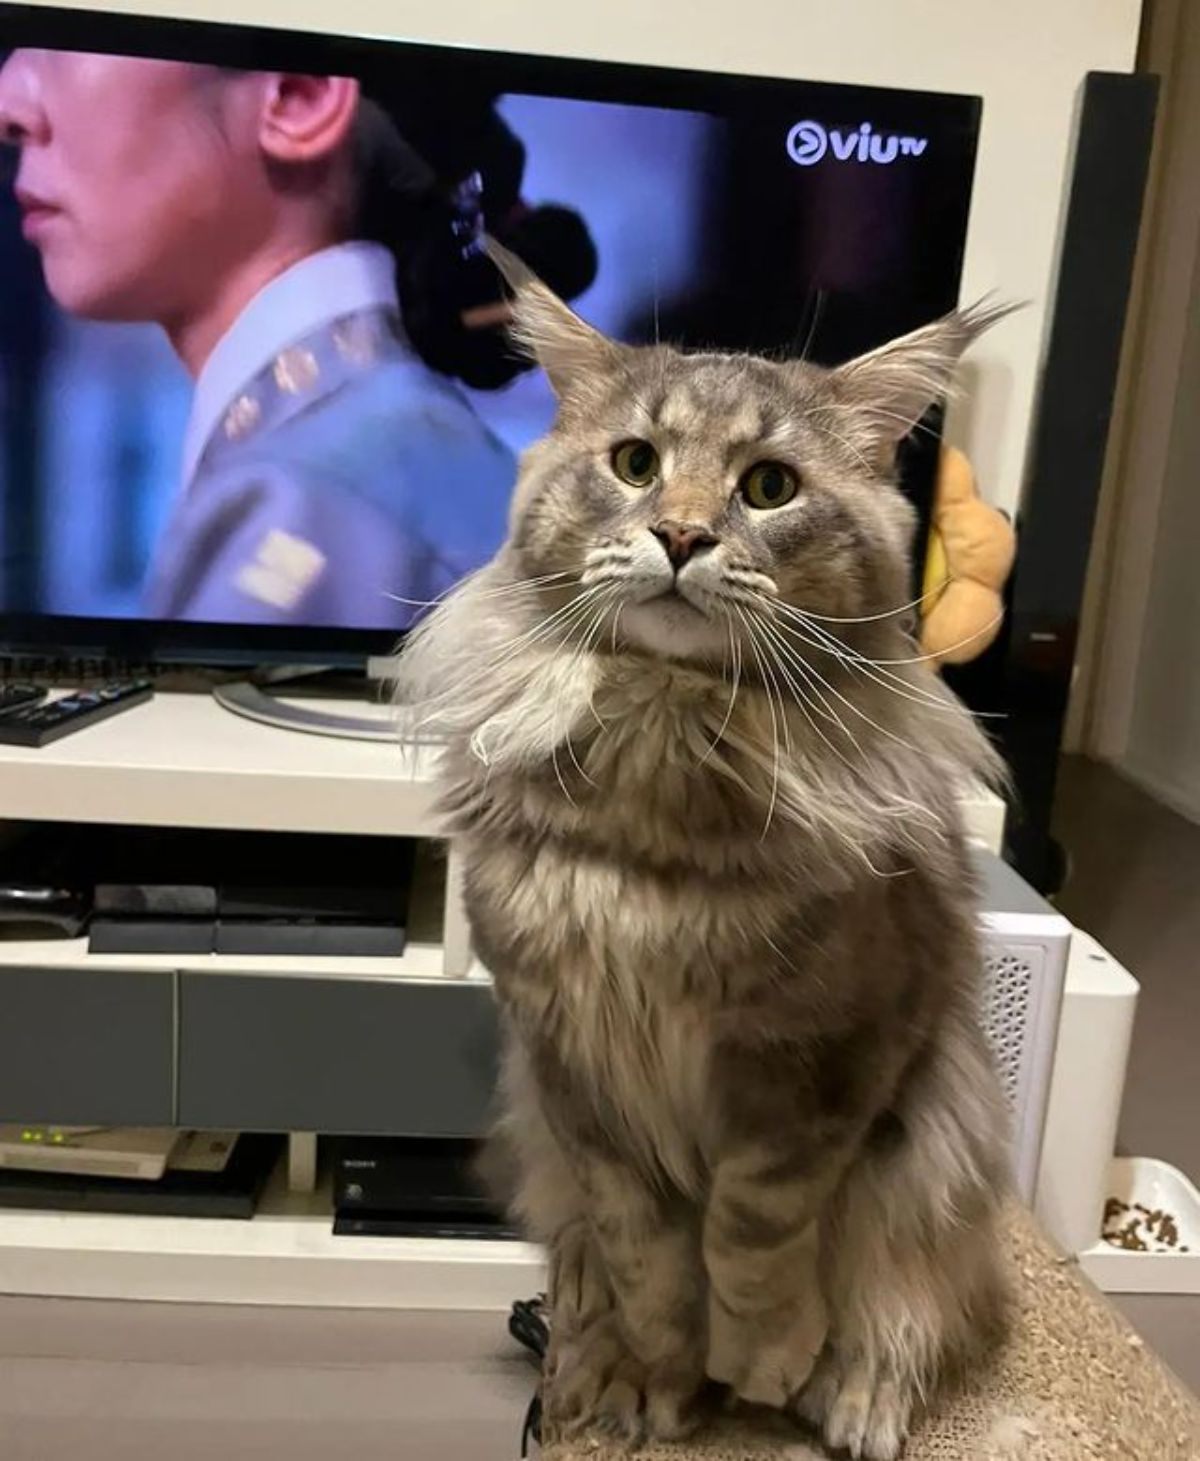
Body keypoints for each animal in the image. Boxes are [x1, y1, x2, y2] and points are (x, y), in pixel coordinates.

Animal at [400, 251, 1011, 1461]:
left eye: (769, 487)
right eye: (636, 464)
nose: (682, 538)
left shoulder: (819, 1058)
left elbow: (752, 1232)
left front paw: (762, 1358)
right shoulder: (573, 1069)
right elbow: (643, 1252)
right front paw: (663, 1378)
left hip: (939, 1153)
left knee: (906, 1309)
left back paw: (850, 1401)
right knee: (583, 1280)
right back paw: (595, 1381)